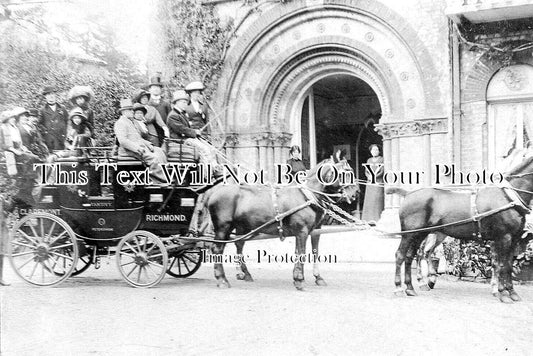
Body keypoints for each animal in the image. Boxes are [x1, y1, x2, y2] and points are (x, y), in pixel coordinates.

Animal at [204, 154, 358, 290]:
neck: (306, 196)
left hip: (239, 227)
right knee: (217, 249)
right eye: (346, 173)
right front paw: (299, 280)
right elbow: (302, 253)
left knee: (238, 245)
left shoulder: (312, 230)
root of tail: (214, 193)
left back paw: (244, 274)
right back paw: (222, 279)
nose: (355, 193)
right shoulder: (302, 231)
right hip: (223, 227)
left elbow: (312, 252)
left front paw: (312, 277)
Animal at [390, 157, 533, 302]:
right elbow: (502, 265)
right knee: (401, 255)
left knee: (411, 256)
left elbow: (508, 265)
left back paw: (410, 288)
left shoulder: (514, 239)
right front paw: (503, 294)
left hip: (420, 234)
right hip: (409, 234)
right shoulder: (504, 237)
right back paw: (399, 288)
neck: (508, 197)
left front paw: (512, 293)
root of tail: (408, 193)